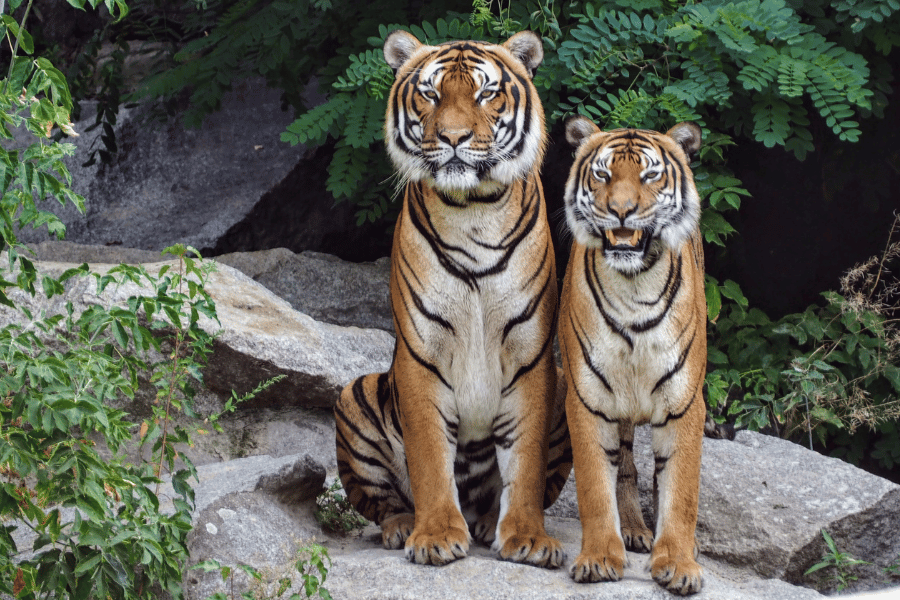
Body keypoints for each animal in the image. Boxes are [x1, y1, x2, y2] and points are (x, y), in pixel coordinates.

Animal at [333, 30, 572, 568]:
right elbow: (428, 456)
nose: (454, 138)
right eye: (431, 93)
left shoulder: (531, 356)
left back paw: (486, 522)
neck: (473, 210)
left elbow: (524, 463)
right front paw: (437, 535)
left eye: (486, 94)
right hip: (355, 394)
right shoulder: (421, 354)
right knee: (382, 502)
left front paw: (527, 537)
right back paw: (404, 525)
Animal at [558, 116, 707, 595]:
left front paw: (678, 562)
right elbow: (593, 485)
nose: (621, 210)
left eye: (650, 175)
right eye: (603, 175)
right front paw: (599, 557)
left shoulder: (685, 404)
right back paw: (634, 531)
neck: (634, 287)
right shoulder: (587, 399)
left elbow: (680, 491)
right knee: (624, 466)